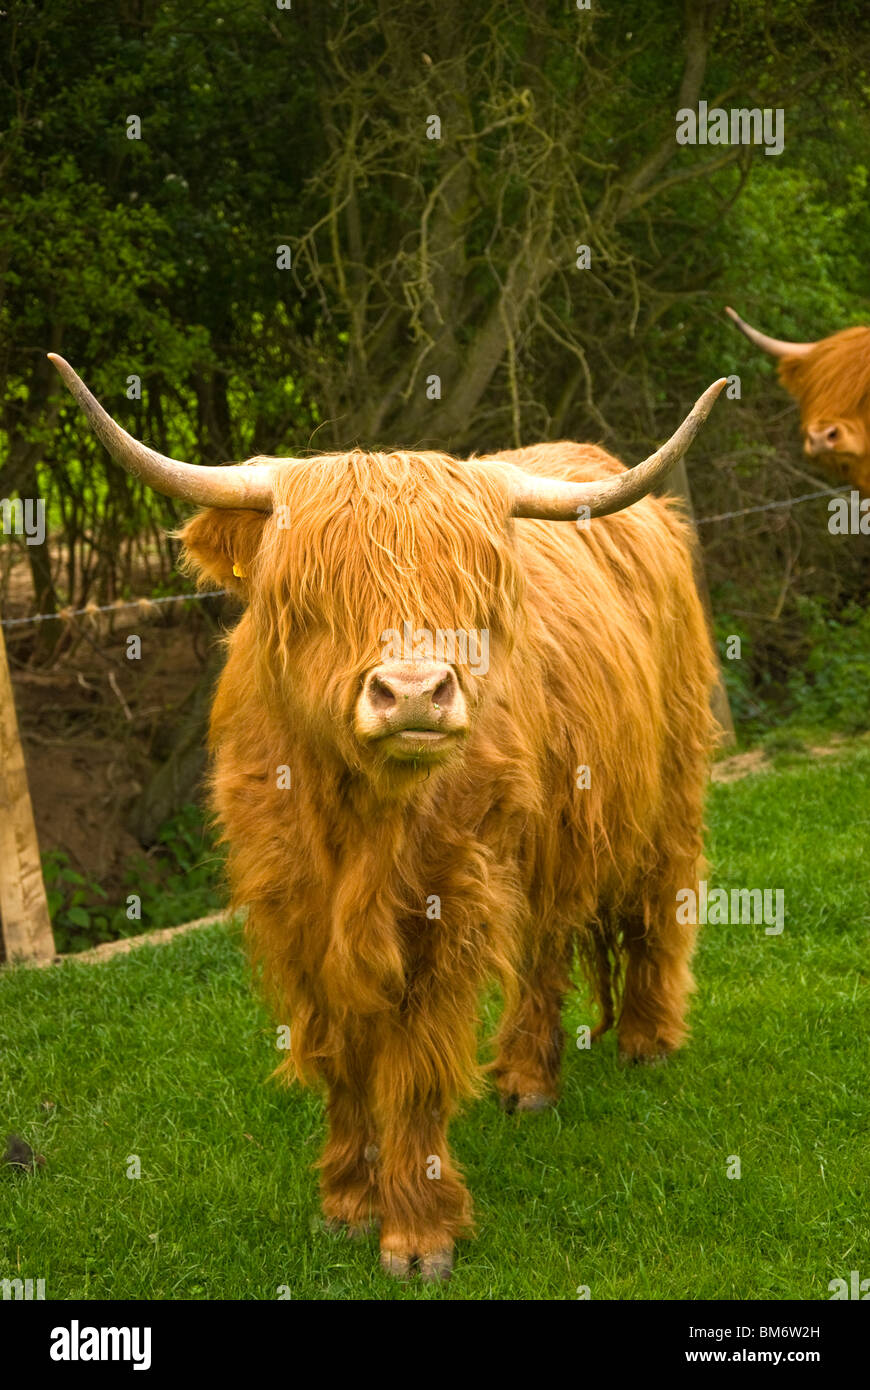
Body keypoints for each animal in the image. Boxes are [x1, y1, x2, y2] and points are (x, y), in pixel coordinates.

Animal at [48, 353, 724, 1280]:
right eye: (309, 593)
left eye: (467, 593)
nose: (413, 692)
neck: (357, 819)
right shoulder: (292, 909)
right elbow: (339, 1056)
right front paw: (344, 1201)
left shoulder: (447, 901)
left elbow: (413, 1067)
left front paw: (417, 1232)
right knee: (545, 941)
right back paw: (526, 1080)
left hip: (670, 774)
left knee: (658, 896)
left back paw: (649, 1040)